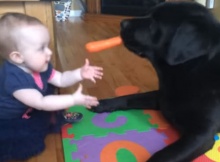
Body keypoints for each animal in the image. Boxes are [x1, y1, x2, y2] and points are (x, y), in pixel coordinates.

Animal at [90, 1, 220, 162]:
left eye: (154, 23)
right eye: (147, 13)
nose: (122, 23)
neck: (190, 71)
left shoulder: (200, 135)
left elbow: (163, 155)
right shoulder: (161, 96)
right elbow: (130, 97)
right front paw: (102, 103)